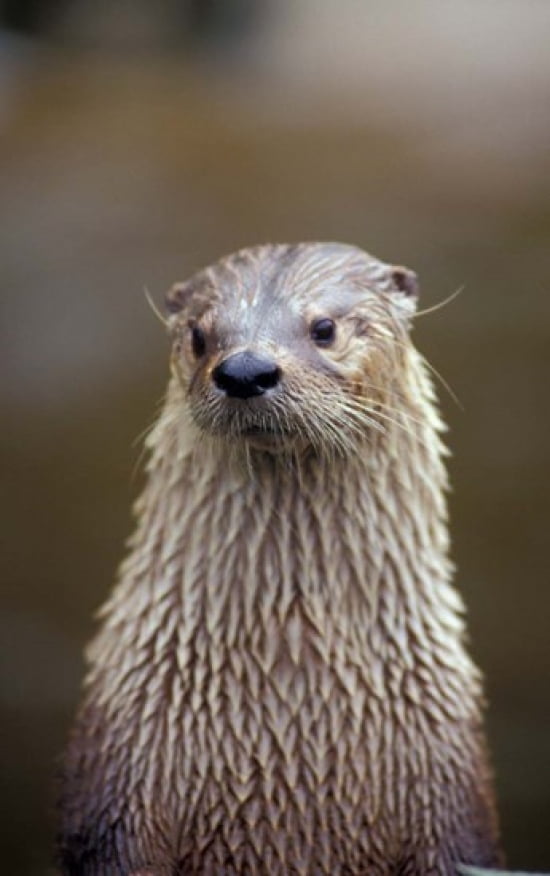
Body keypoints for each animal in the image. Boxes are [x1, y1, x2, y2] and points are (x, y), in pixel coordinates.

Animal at [59, 242, 502, 875]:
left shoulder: (451, 791)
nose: (245, 370)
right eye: (199, 335)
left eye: (324, 328)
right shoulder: (119, 776)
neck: (293, 676)